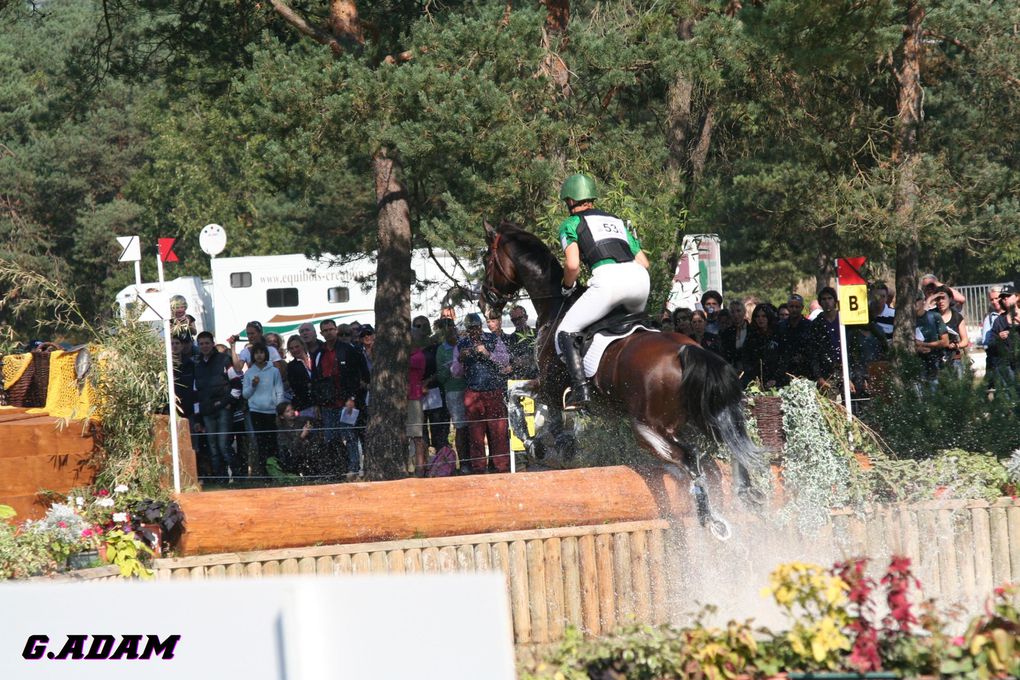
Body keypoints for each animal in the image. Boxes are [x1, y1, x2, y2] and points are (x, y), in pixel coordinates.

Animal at [479, 221, 767, 538]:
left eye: (487, 260)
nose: (485, 304)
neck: (554, 307)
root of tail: (687, 350)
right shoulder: (553, 393)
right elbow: (540, 413)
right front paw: (552, 442)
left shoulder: (549, 386)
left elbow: (518, 399)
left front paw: (535, 443)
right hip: (702, 416)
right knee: (726, 446)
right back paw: (746, 493)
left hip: (646, 426)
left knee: (689, 457)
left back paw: (712, 519)